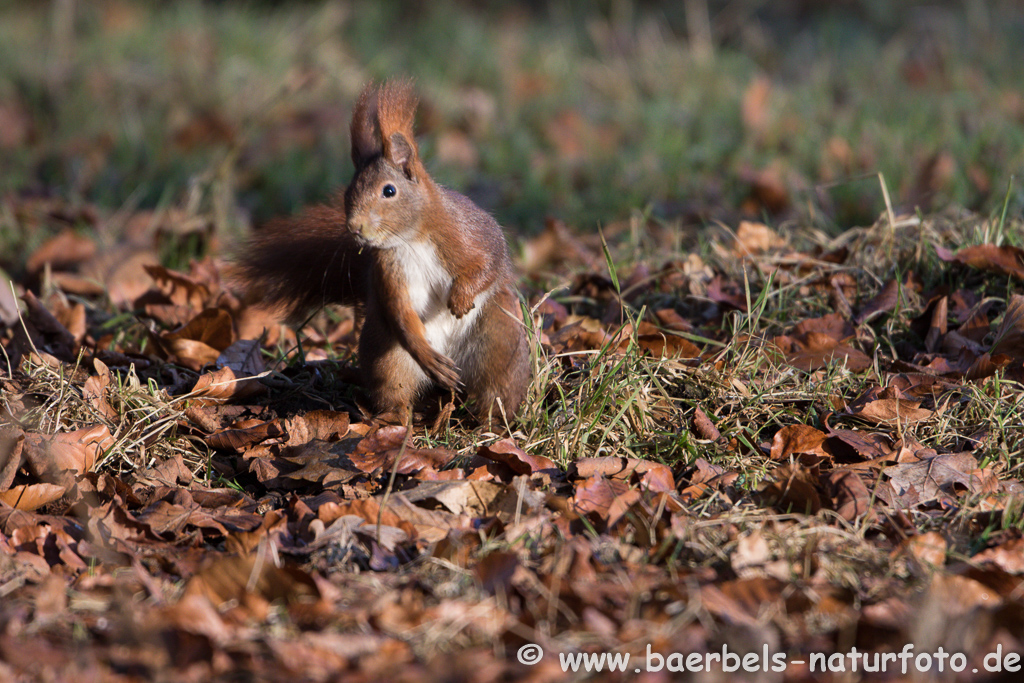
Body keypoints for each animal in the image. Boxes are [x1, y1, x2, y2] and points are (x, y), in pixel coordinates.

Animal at [233, 78, 528, 421]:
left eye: (389, 191)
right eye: (348, 192)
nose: (354, 227)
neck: (410, 239)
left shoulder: (469, 234)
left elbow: (488, 262)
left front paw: (460, 298)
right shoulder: (387, 270)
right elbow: (397, 307)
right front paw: (427, 354)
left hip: (498, 340)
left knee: (495, 390)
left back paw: (491, 422)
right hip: (388, 356)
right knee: (394, 390)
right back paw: (396, 419)